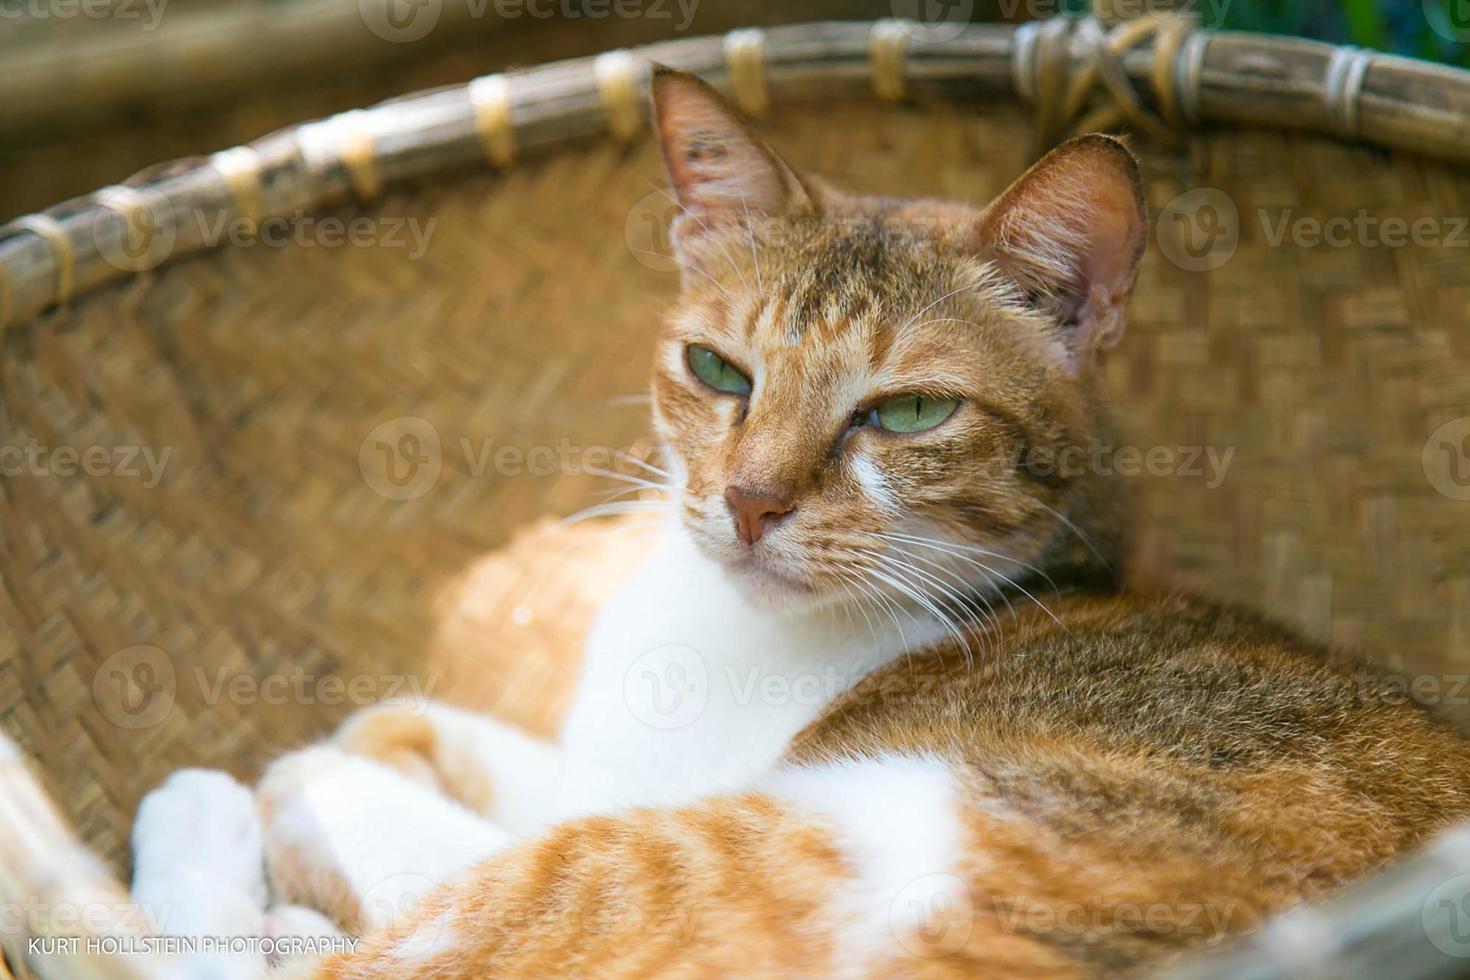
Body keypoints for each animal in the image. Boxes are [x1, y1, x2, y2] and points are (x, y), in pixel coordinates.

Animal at [123, 65, 1470, 975]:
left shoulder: (604, 840)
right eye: (719, 370)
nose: (750, 498)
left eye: (912, 409)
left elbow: (336, 777)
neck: (721, 636)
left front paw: (287, 826)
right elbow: (410, 730)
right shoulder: (596, 771)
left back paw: (198, 831)